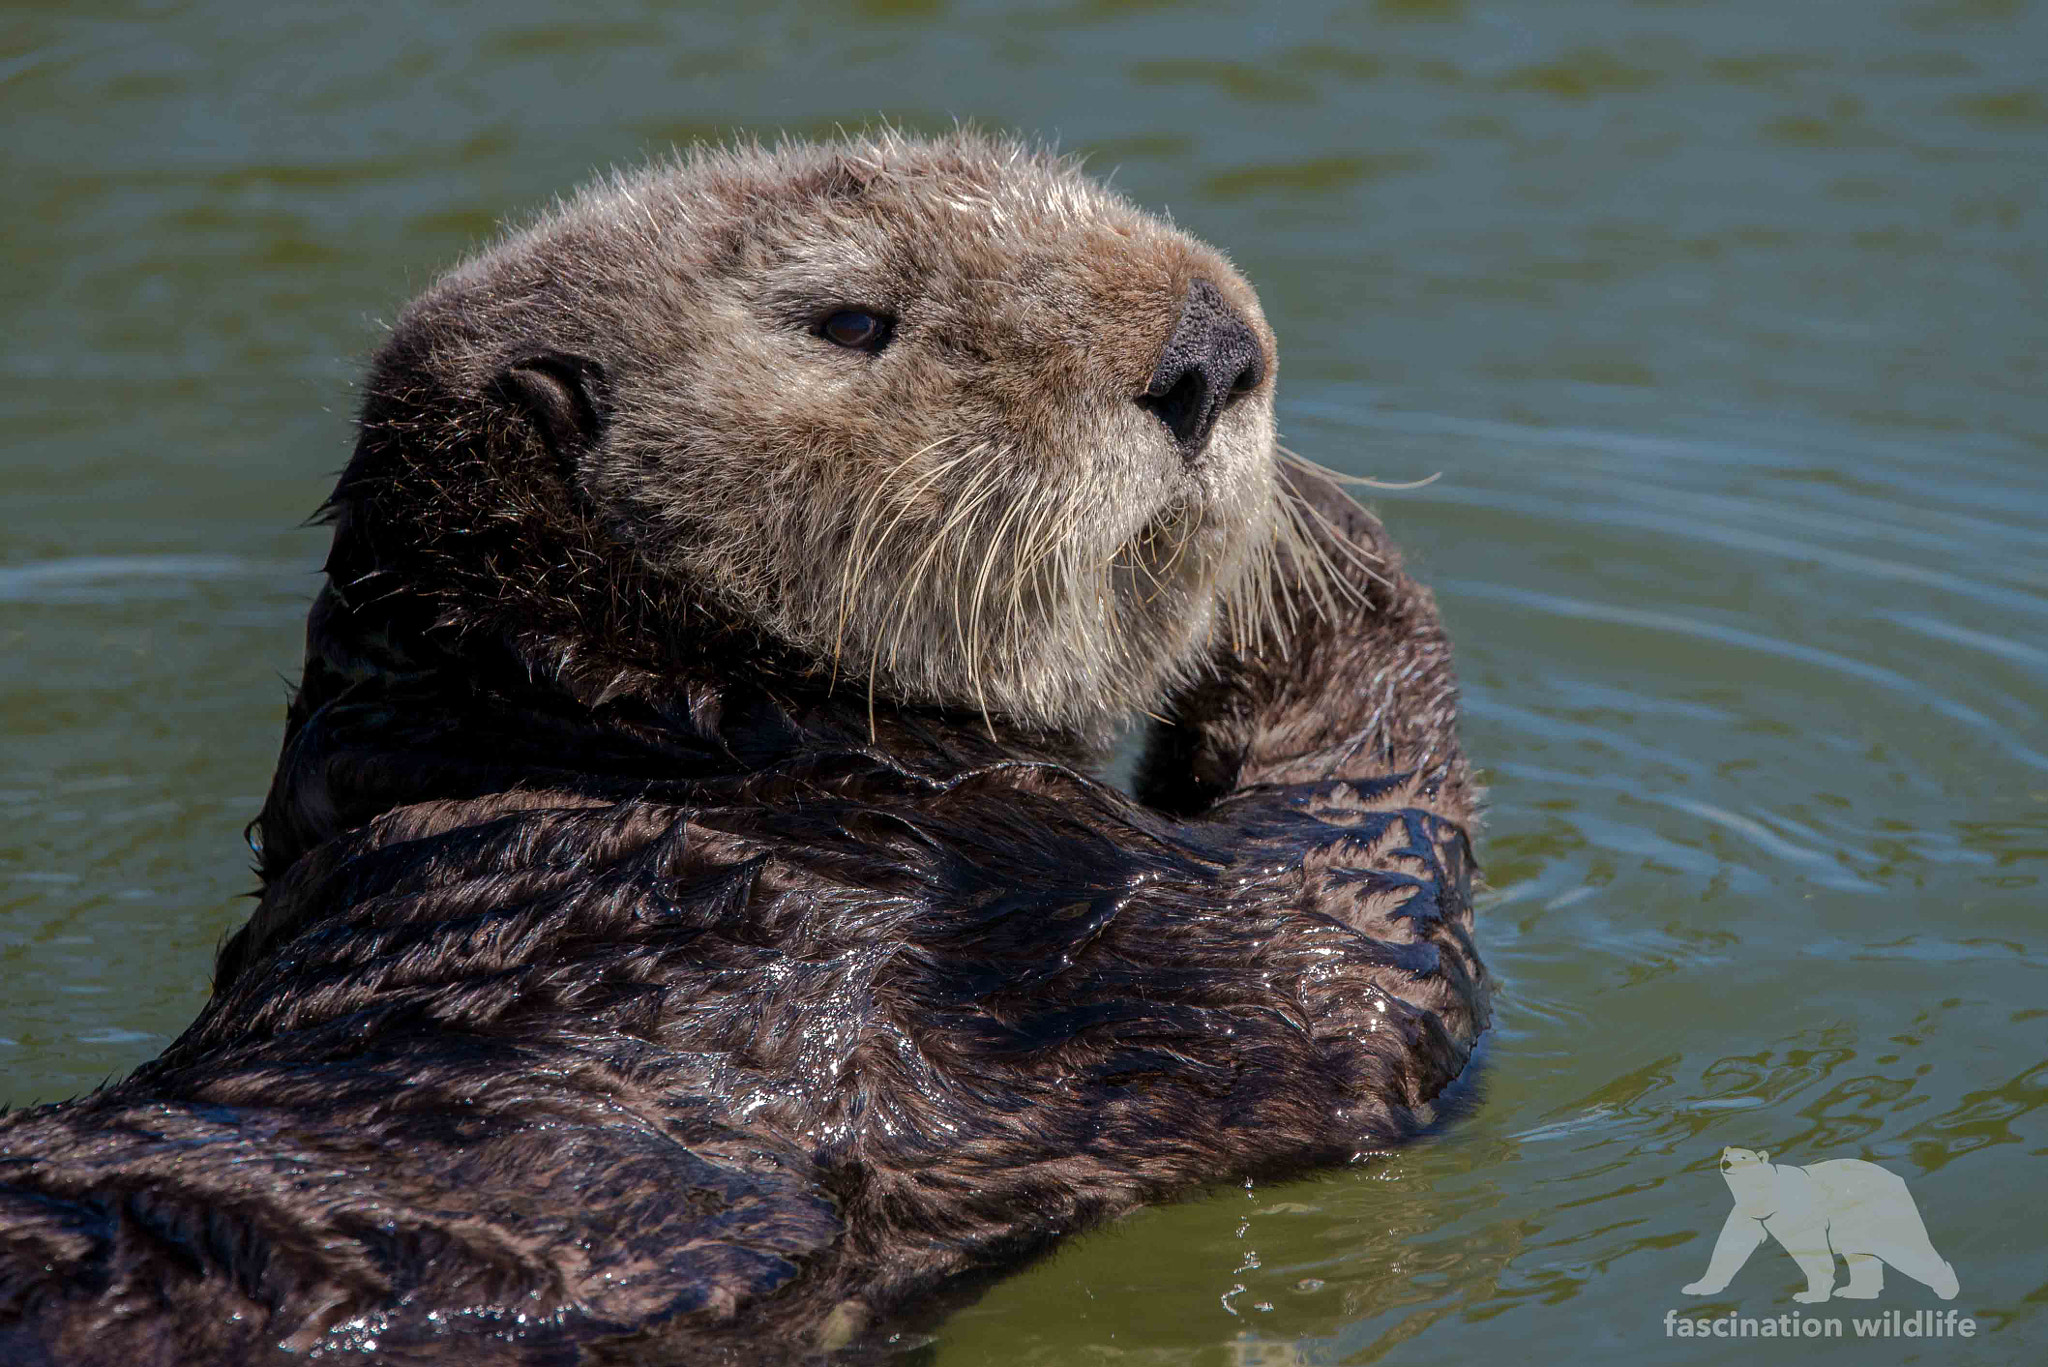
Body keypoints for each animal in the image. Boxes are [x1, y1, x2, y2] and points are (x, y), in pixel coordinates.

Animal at [0, 131, 1486, 1364]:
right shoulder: (1073, 928)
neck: (656, 724)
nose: (1214, 350)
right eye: (850, 318)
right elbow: (1356, 929)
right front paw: (1306, 530)